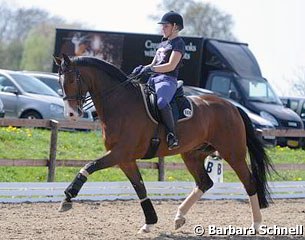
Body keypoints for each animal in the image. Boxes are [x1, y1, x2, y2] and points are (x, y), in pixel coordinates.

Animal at [52, 54, 274, 232]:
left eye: (71, 79)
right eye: (60, 82)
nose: (71, 114)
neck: (121, 103)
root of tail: (233, 107)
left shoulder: (120, 153)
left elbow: (89, 166)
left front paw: (68, 197)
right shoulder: (125, 159)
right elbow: (140, 188)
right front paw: (149, 222)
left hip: (232, 153)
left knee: (249, 183)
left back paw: (256, 224)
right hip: (192, 154)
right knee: (205, 182)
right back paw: (179, 217)